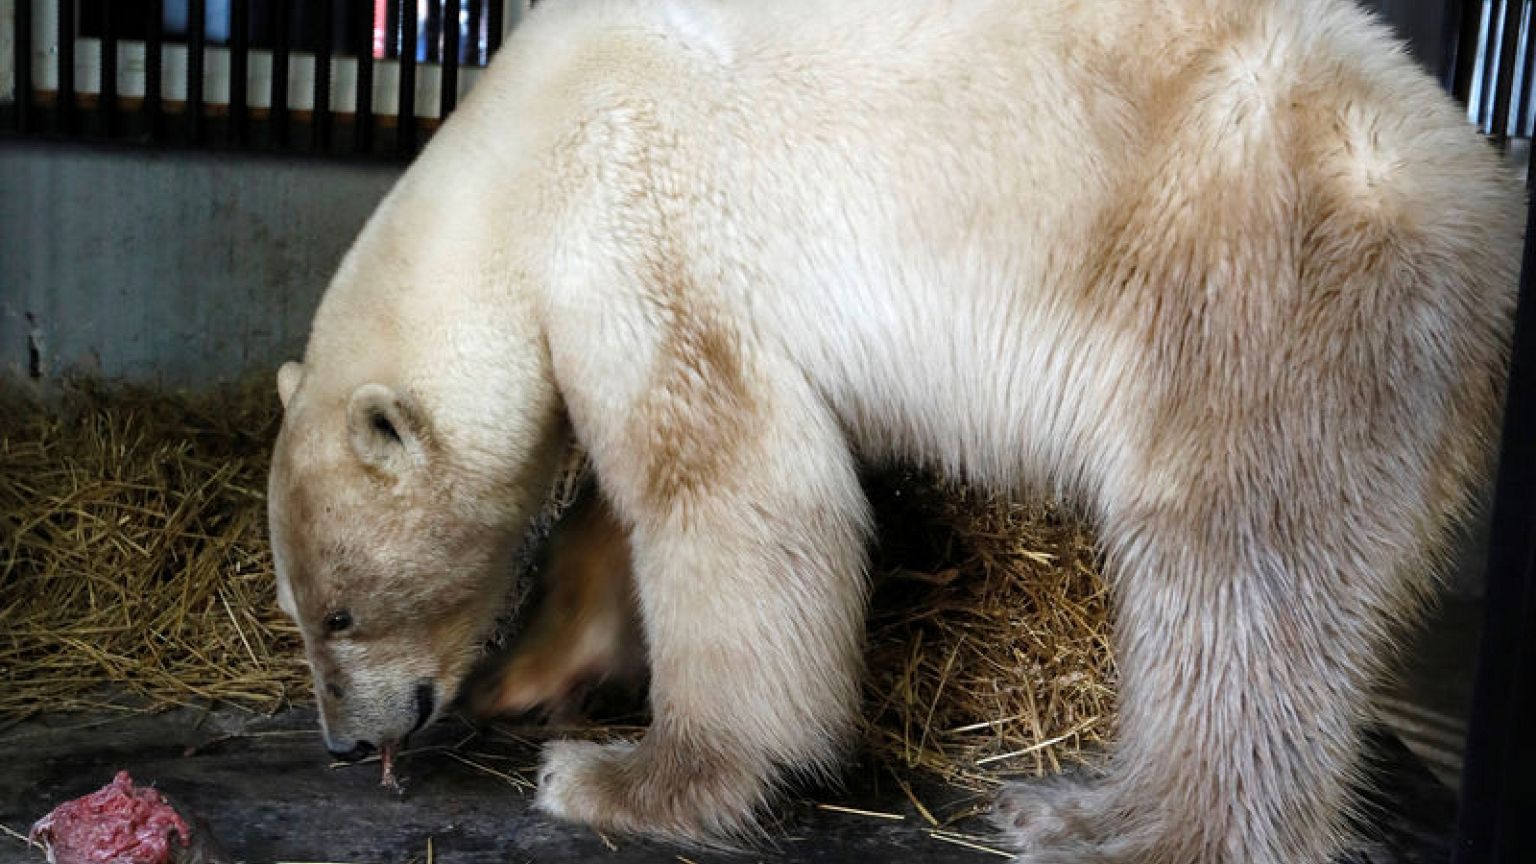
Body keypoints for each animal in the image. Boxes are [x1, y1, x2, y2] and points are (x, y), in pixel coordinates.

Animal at [265, 0, 1524, 861]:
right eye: (298, 609)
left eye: (339, 611)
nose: (341, 743)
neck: (517, 152)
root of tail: (1481, 205)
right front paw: (533, 672)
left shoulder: (636, 219)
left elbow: (731, 486)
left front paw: (625, 779)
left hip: (1262, 299)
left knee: (1235, 577)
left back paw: (1117, 827)